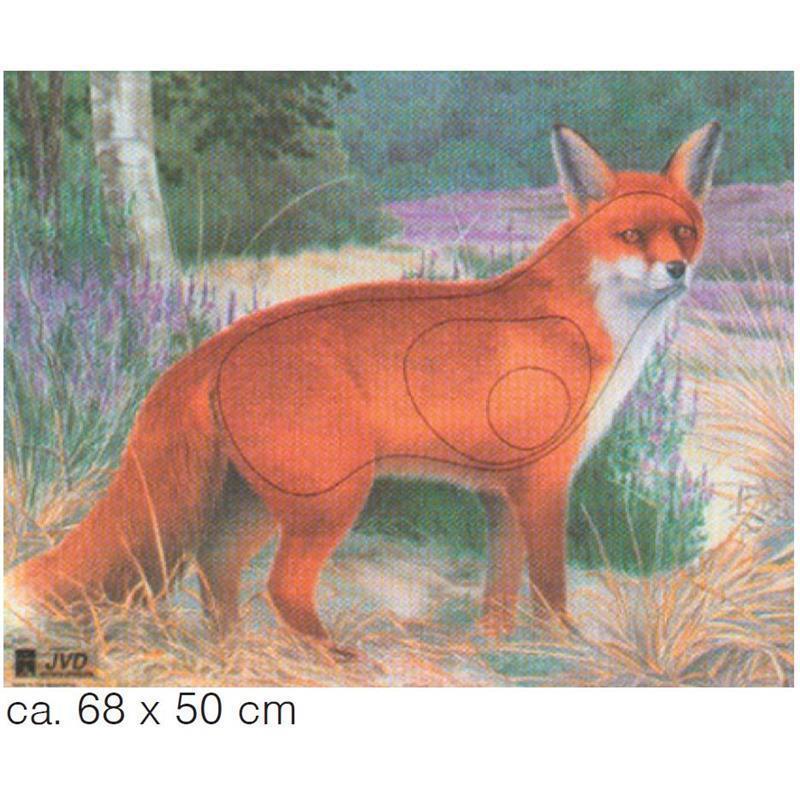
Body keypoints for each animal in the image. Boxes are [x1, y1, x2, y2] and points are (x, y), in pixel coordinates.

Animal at [6, 122, 722, 654]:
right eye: (631, 235)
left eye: (684, 231)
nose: (677, 269)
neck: (583, 324)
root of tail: (216, 344)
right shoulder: (543, 480)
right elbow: (548, 583)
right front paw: (560, 643)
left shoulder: (500, 491)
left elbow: (500, 584)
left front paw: (496, 638)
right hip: (332, 499)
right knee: (281, 586)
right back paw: (331, 655)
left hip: (263, 503)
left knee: (216, 566)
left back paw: (232, 649)